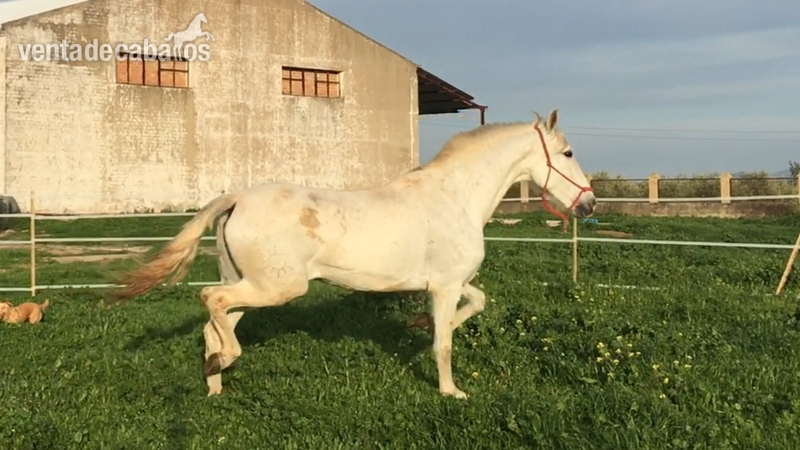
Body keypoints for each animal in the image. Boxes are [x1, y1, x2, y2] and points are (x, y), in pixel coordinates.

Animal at [110, 108, 596, 399]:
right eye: (569, 152)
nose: (589, 204)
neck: (455, 197)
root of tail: (236, 199)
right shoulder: (444, 285)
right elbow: (444, 343)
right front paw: (451, 392)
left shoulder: (449, 284)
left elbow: (476, 303)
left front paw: (418, 326)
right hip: (278, 287)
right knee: (210, 301)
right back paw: (227, 360)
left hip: (249, 285)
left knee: (214, 324)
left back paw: (214, 383)